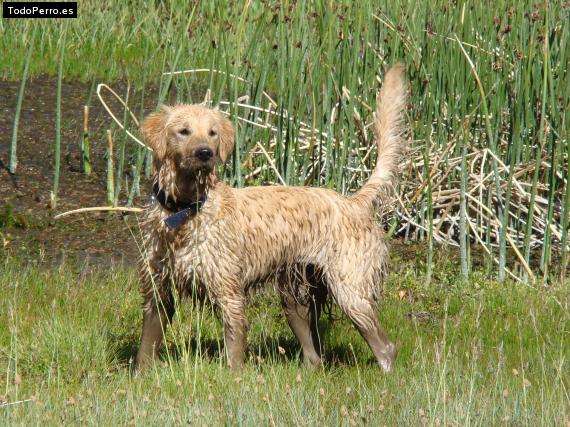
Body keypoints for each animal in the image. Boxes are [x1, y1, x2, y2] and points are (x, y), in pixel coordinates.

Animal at [135, 64, 406, 372]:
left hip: (350, 289)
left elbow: (233, 350)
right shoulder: (157, 288)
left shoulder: (229, 292)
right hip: (295, 294)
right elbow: (146, 347)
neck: (185, 210)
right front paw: (139, 376)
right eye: (183, 131)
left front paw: (234, 378)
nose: (205, 153)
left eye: (212, 133)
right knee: (313, 352)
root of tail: (354, 202)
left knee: (384, 346)